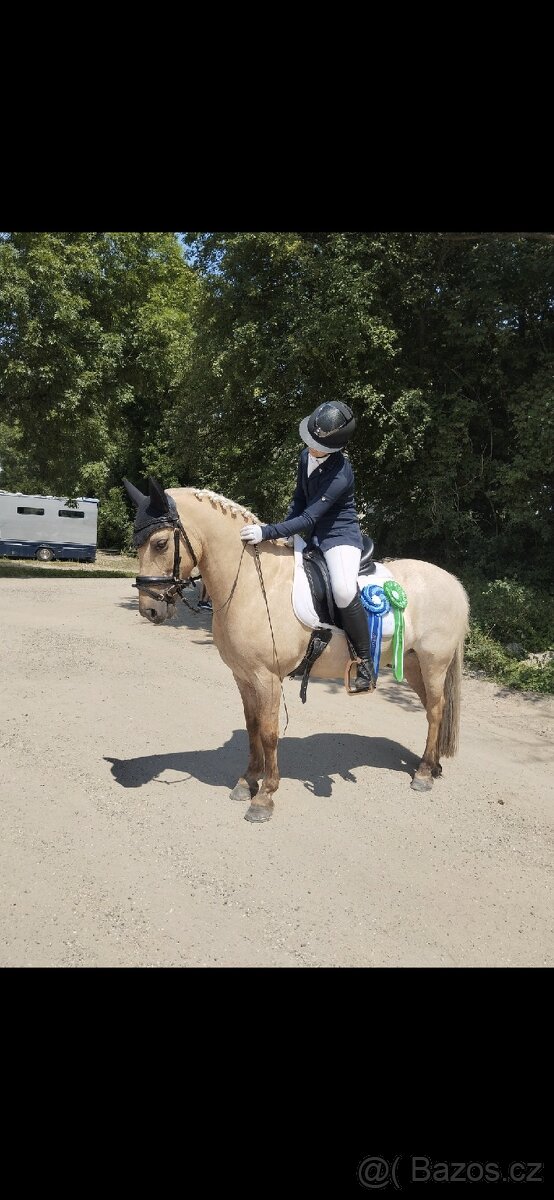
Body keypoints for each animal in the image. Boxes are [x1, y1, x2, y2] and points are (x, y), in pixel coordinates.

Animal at [124, 477, 470, 823]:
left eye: (159, 544)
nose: (149, 610)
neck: (252, 581)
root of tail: (452, 581)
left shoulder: (266, 678)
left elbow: (269, 732)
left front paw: (264, 796)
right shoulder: (243, 676)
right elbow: (252, 726)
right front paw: (247, 781)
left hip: (433, 663)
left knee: (436, 709)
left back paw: (423, 774)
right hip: (412, 664)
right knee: (433, 710)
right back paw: (433, 765)